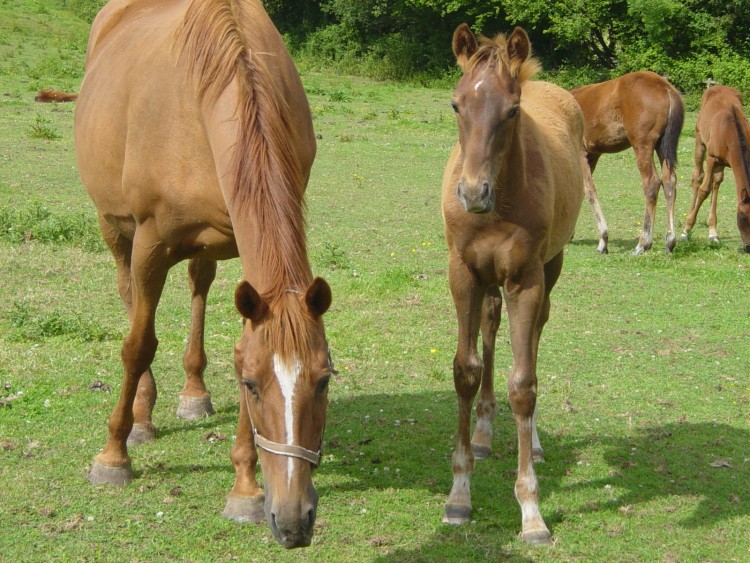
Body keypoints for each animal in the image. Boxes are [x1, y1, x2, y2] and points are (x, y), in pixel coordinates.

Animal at [75, 0, 334, 548]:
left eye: (324, 381)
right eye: (254, 387)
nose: (294, 520)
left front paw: (245, 488)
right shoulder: (150, 243)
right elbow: (137, 345)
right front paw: (113, 456)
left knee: (198, 285)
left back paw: (193, 394)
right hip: (116, 229)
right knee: (130, 298)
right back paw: (141, 416)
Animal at [444, 24, 584, 544]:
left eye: (512, 111)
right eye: (457, 104)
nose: (472, 193)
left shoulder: (525, 279)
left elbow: (524, 383)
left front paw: (532, 511)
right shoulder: (463, 274)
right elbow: (466, 370)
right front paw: (459, 496)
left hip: (550, 267)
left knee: (536, 336)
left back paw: (536, 441)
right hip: (488, 281)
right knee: (489, 326)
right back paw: (484, 434)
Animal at [576, 72, 688, 256]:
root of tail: (665, 87)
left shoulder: (581, 155)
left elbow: (589, 191)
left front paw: (603, 241)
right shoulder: (592, 155)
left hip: (642, 145)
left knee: (652, 183)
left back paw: (643, 243)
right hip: (662, 146)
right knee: (669, 181)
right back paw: (670, 241)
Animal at [680, 85, 750, 252]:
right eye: (743, 217)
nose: (749, 247)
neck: (732, 130)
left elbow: (713, 186)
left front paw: (713, 234)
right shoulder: (712, 159)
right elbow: (704, 190)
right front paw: (687, 229)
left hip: (721, 164)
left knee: (717, 182)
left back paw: (713, 232)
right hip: (700, 141)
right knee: (698, 177)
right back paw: (687, 230)